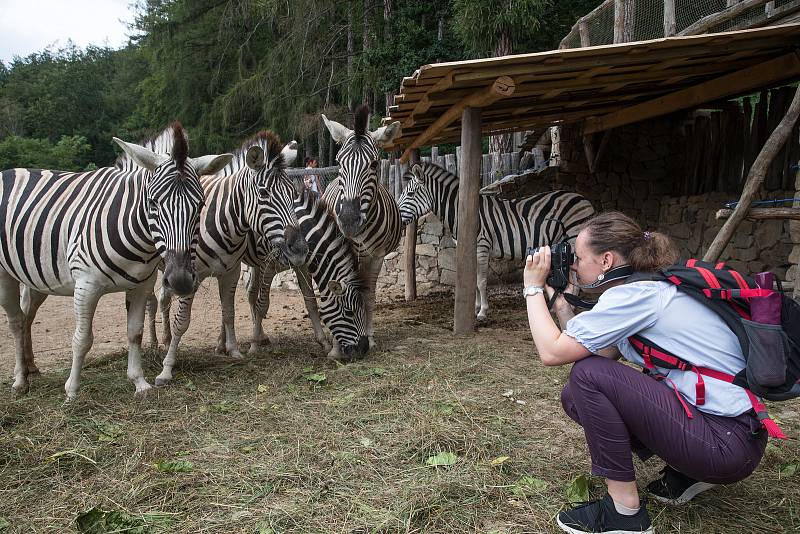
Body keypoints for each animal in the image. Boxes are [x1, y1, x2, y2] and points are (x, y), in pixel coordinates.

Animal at [0, 125, 233, 400]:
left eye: (200, 205)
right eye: (153, 202)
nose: (180, 281)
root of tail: (9, 171)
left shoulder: (142, 284)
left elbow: (135, 333)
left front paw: (140, 383)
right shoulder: (86, 286)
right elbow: (82, 339)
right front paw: (72, 391)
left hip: (37, 276)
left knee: (26, 316)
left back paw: (31, 368)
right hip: (5, 273)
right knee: (16, 322)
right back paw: (20, 380)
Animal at [318, 105, 404, 348]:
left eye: (374, 164)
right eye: (339, 162)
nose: (348, 220)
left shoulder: (376, 255)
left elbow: (368, 295)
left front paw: (369, 336)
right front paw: (338, 341)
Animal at [398, 163, 592, 320]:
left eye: (410, 194)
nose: (397, 217)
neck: (464, 214)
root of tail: (583, 198)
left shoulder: (481, 246)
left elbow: (481, 281)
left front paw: (482, 312)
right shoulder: (468, 248)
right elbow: (473, 279)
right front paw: (474, 308)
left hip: (573, 238)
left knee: (575, 275)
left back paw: (571, 306)